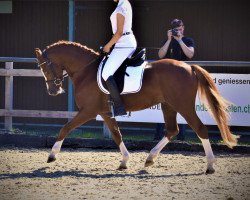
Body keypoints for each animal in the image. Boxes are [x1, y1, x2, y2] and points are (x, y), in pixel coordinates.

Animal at [35, 40, 238, 173]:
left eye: (44, 67)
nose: (53, 90)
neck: (87, 70)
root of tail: (189, 67)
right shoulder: (106, 113)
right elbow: (116, 134)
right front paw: (124, 162)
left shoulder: (88, 111)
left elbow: (65, 127)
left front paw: (52, 155)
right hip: (168, 106)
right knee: (172, 130)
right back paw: (150, 159)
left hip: (183, 106)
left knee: (200, 129)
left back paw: (210, 165)